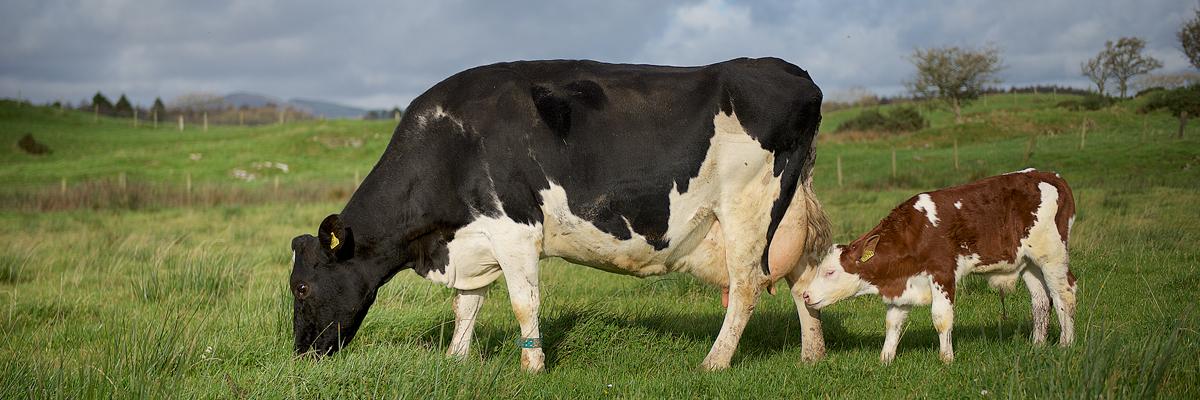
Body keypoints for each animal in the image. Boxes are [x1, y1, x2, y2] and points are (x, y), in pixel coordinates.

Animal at [288, 57, 832, 372]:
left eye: (302, 287)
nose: (301, 353)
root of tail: (791, 71)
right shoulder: (474, 239)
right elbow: (467, 305)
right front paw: (457, 359)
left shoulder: (514, 229)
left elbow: (522, 304)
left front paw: (532, 367)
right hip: (790, 212)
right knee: (804, 279)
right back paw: (813, 355)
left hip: (747, 208)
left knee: (744, 289)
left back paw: (714, 363)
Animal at [801, 169, 1077, 364]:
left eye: (830, 272)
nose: (806, 295)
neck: (915, 232)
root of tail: (1050, 176)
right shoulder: (902, 284)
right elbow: (893, 322)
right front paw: (885, 359)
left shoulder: (942, 273)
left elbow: (941, 318)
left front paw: (946, 359)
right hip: (1028, 263)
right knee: (1041, 300)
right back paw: (1037, 345)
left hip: (1052, 256)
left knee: (1064, 295)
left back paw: (1066, 345)